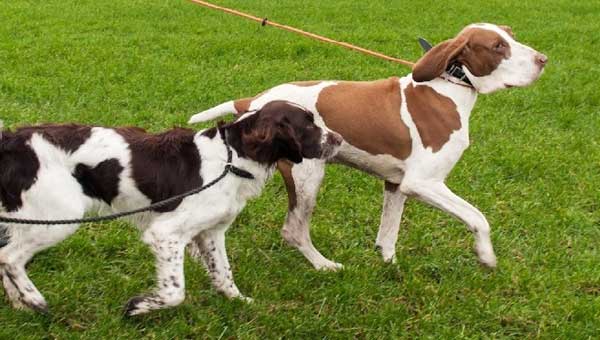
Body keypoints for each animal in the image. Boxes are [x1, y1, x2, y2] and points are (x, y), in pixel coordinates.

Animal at [0, 101, 340, 316]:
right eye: (308, 125)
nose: (338, 138)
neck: (232, 158)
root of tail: (13, 140)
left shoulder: (211, 233)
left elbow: (224, 274)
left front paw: (240, 302)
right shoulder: (166, 234)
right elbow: (175, 291)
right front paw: (138, 306)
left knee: (7, 257)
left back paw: (20, 304)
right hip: (60, 216)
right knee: (10, 257)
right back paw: (35, 300)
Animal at [190, 22, 548, 270]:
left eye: (511, 35)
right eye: (498, 46)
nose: (543, 59)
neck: (448, 90)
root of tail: (255, 101)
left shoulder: (396, 184)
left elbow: (388, 236)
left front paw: (389, 267)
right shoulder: (423, 183)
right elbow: (478, 217)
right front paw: (486, 255)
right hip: (307, 177)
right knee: (294, 230)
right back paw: (323, 265)